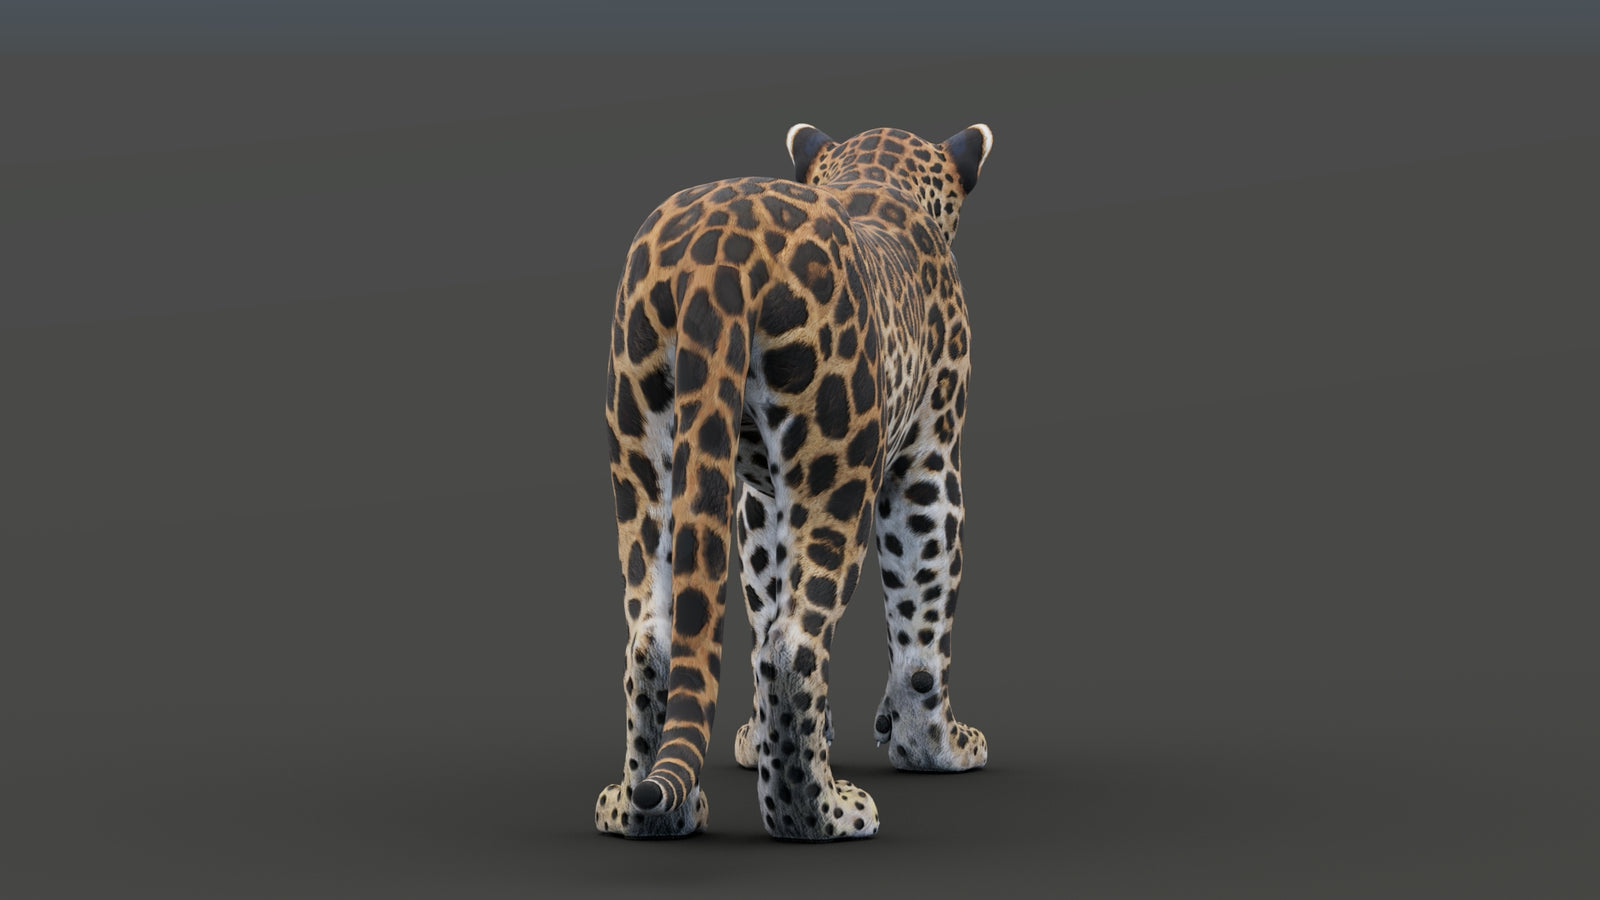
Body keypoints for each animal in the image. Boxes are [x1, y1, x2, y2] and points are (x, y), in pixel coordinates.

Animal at [595, 123, 993, 841]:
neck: (875, 178)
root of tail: (713, 257)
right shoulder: (929, 456)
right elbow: (923, 615)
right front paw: (934, 748)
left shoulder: (758, 499)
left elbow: (761, 601)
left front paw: (762, 742)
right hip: (838, 465)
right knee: (793, 646)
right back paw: (820, 815)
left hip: (642, 448)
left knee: (655, 638)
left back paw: (646, 811)